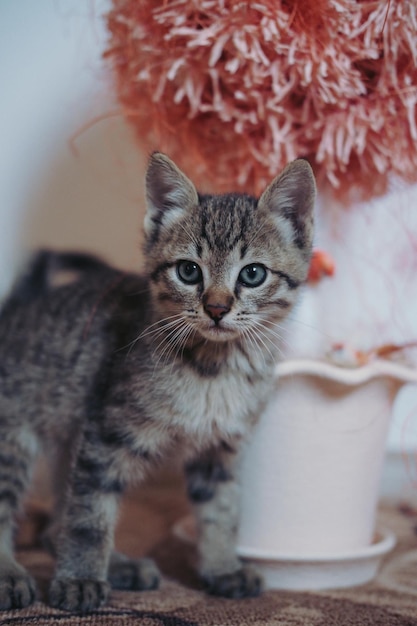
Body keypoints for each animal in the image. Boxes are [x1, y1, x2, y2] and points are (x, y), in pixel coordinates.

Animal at [0, 151, 312, 608]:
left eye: (252, 274)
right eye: (188, 271)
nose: (217, 308)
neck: (214, 369)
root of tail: (18, 308)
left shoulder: (220, 450)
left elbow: (222, 511)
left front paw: (223, 567)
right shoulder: (105, 434)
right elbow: (89, 516)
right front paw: (80, 579)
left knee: (54, 523)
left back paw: (121, 567)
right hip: (14, 436)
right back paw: (11, 575)